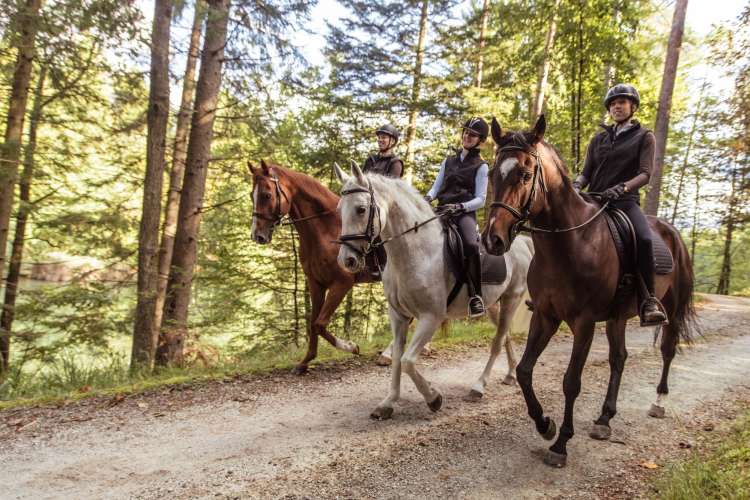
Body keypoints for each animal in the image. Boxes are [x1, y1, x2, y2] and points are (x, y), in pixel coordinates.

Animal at [248, 160, 374, 376]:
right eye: (251, 195)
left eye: (267, 195)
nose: (257, 235)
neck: (325, 228)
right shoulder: (316, 283)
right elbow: (313, 324)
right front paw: (305, 362)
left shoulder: (342, 283)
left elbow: (319, 324)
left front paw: (352, 347)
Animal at [334, 163, 536, 418]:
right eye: (340, 210)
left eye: (361, 209)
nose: (346, 260)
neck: (415, 251)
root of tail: (521, 242)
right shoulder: (398, 316)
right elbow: (398, 358)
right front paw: (388, 402)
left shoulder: (431, 317)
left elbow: (408, 361)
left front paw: (433, 398)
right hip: (492, 305)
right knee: (506, 335)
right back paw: (509, 375)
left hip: (511, 299)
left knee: (497, 342)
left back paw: (478, 387)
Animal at [482, 115, 700, 466]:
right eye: (492, 174)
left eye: (525, 174)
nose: (492, 239)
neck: (570, 243)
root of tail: (671, 231)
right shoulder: (545, 315)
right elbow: (526, 371)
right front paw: (544, 424)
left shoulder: (583, 322)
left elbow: (571, 382)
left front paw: (560, 444)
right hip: (617, 317)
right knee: (619, 358)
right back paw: (604, 419)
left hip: (672, 306)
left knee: (668, 349)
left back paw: (658, 403)